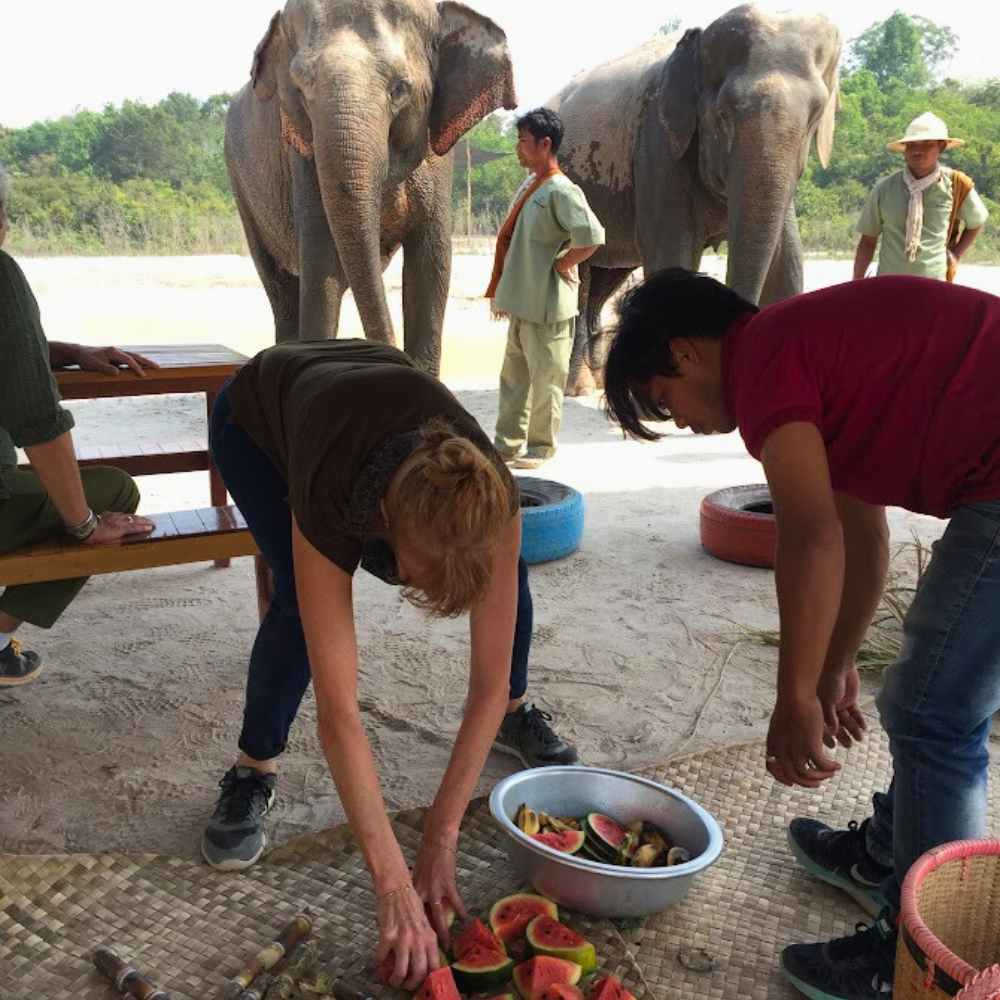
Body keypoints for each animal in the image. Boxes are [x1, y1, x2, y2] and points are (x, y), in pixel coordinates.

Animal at [227, 0, 516, 376]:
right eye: (302, 89)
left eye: (400, 88)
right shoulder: (302, 154)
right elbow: (321, 265)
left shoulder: (440, 164)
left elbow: (431, 266)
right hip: (241, 186)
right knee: (282, 289)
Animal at [548, 3, 844, 394]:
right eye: (723, 114)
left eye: (815, 116)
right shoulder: (658, 143)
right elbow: (673, 250)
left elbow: (786, 265)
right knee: (579, 277)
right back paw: (578, 389)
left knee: (605, 276)